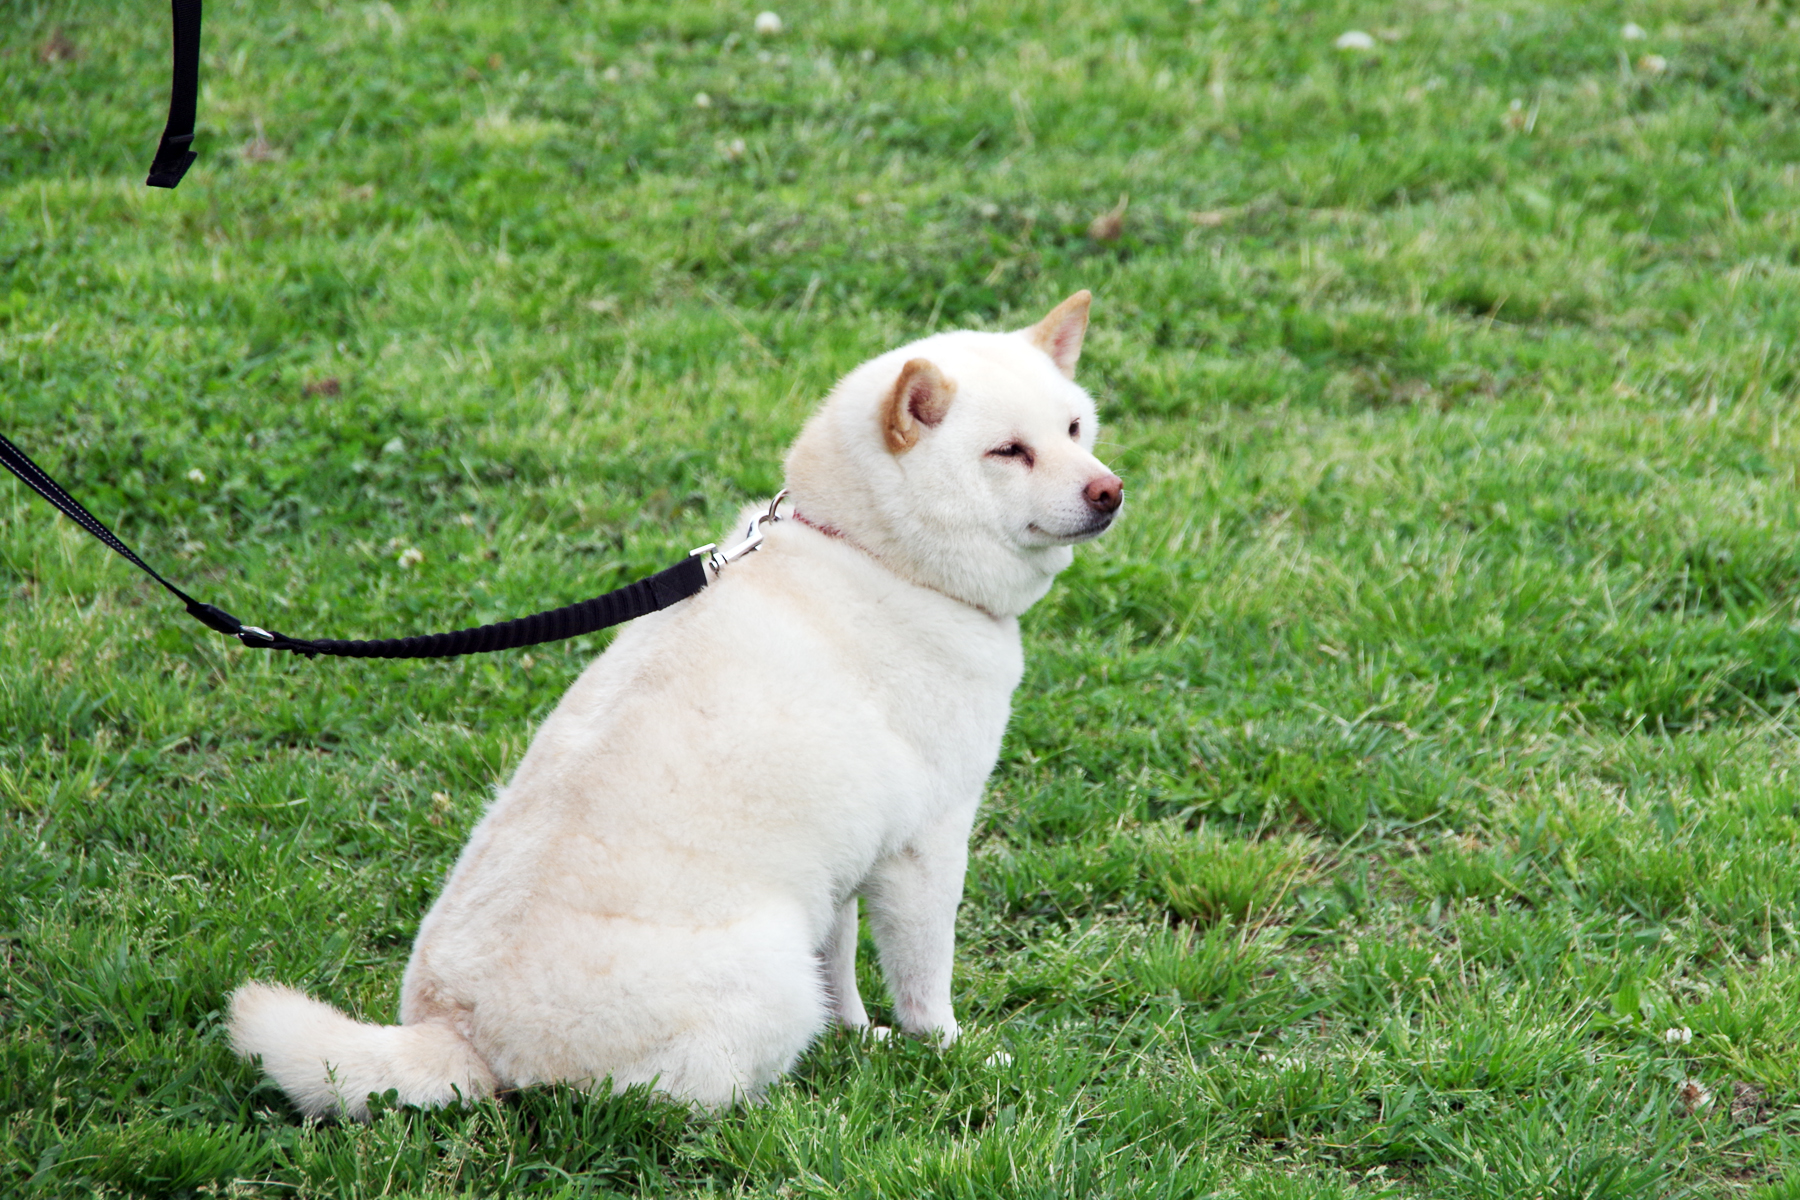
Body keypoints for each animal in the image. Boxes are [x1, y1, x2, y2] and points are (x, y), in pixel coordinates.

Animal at [226, 287, 1123, 1115]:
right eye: (1008, 451)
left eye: (1076, 429)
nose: (1110, 492)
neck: (874, 554)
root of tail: (459, 1032)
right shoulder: (924, 848)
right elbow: (924, 982)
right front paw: (948, 1053)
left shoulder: (842, 863)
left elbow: (842, 969)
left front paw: (859, 1036)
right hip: (766, 974)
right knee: (681, 1098)